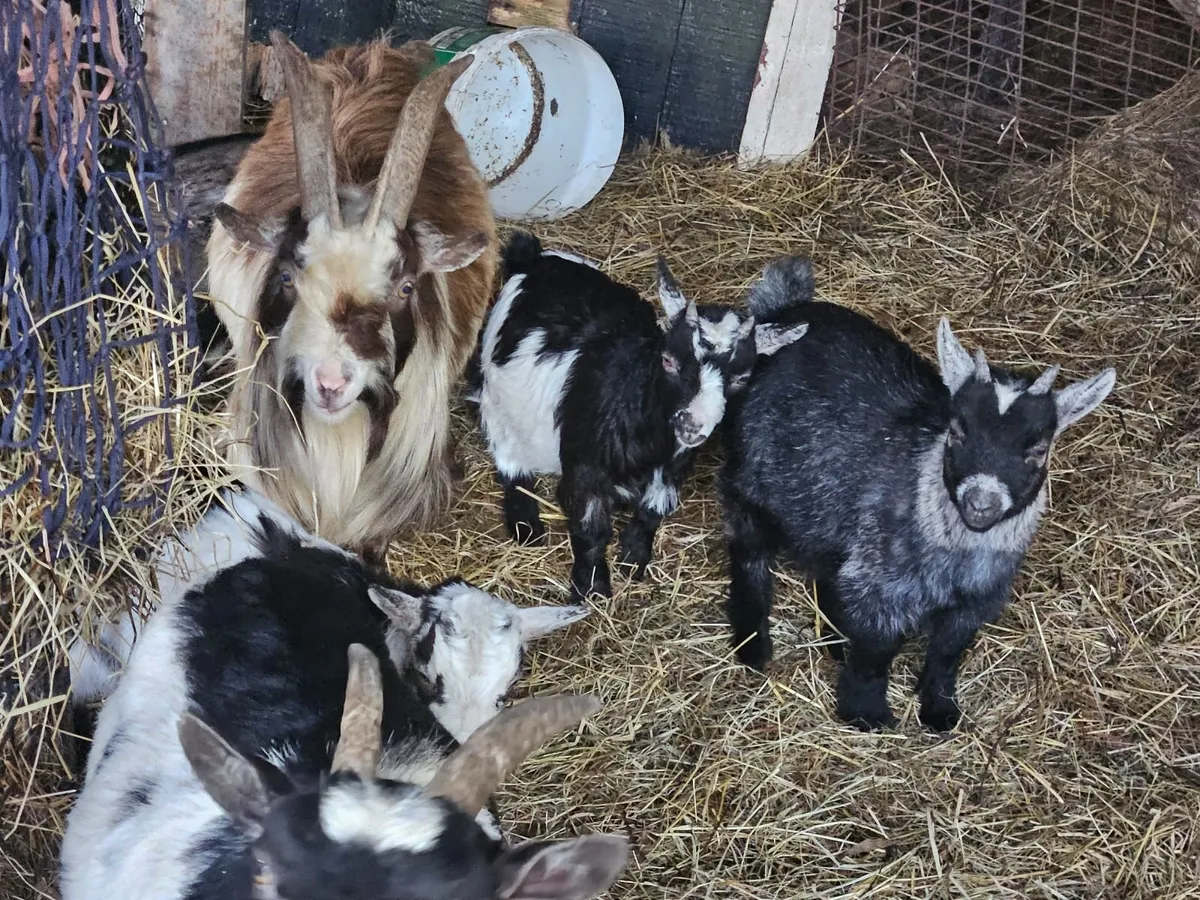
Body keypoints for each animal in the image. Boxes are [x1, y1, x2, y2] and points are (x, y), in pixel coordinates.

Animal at [475, 231, 807, 601]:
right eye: (668, 360)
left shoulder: (674, 467)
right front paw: (592, 588)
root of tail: (534, 259)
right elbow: (590, 527)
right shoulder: (584, 465)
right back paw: (526, 524)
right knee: (510, 465)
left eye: (742, 377)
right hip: (496, 407)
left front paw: (634, 556)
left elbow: (654, 509)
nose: (692, 424)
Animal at [719, 256, 1116, 732]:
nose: (980, 503)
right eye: (958, 430)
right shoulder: (882, 588)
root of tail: (784, 309)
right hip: (753, 479)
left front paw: (940, 711)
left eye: (1038, 450)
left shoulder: (973, 603)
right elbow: (875, 652)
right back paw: (752, 644)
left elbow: (946, 655)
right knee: (749, 549)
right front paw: (866, 713)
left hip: (825, 509)